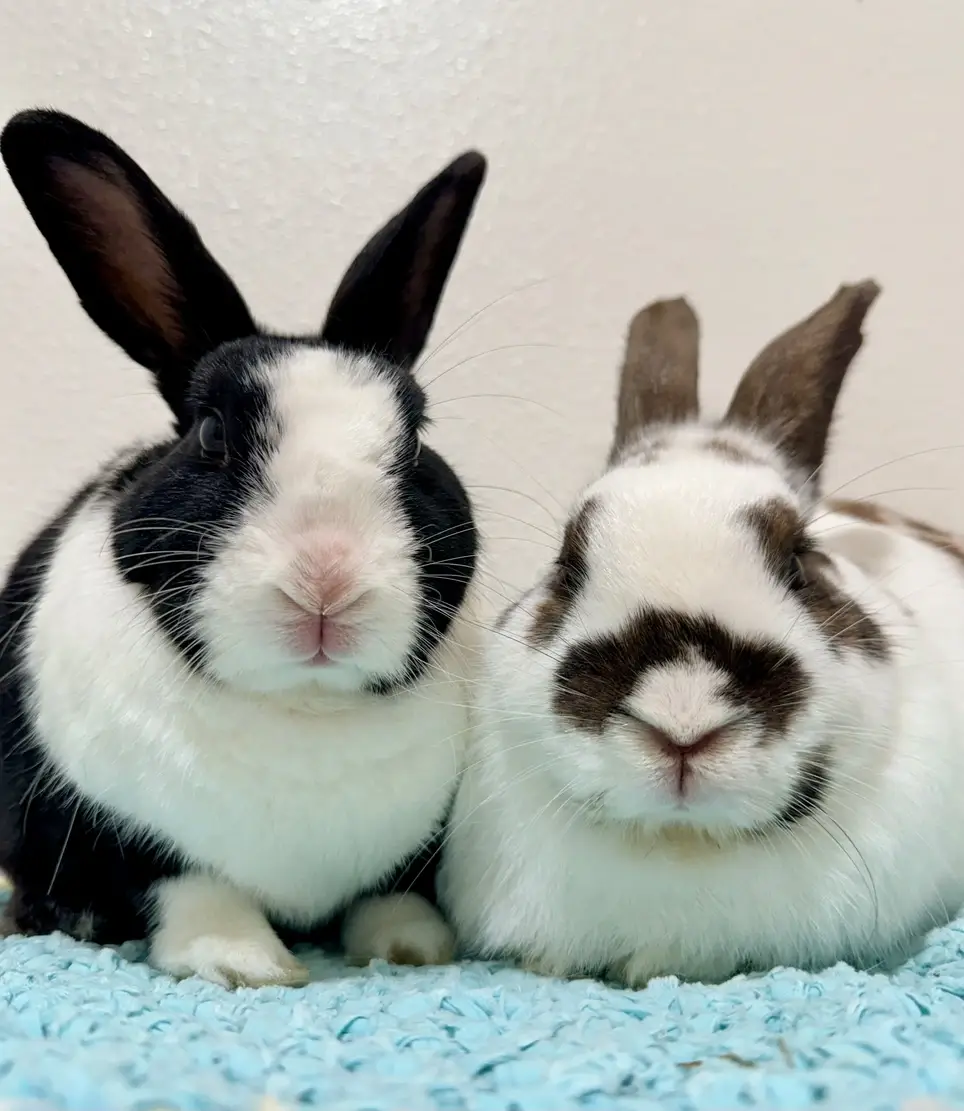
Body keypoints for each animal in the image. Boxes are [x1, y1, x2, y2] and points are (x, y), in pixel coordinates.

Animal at [0, 108, 488, 988]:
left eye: (416, 441)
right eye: (211, 435)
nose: (327, 581)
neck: (303, 705)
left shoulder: (415, 845)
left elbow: (393, 888)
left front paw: (411, 947)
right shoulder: (122, 827)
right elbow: (187, 882)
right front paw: (240, 961)